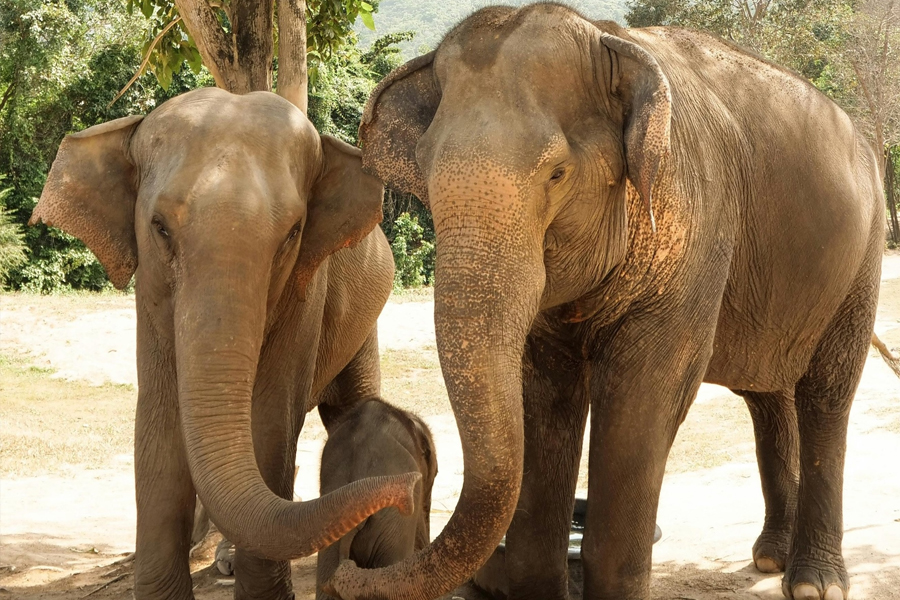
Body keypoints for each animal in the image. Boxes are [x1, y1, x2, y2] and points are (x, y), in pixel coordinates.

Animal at [30, 87, 421, 600]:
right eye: (159, 227)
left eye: (292, 234)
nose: (409, 489)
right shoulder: (150, 296)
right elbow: (159, 422)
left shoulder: (304, 294)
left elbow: (270, 421)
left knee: (349, 401)